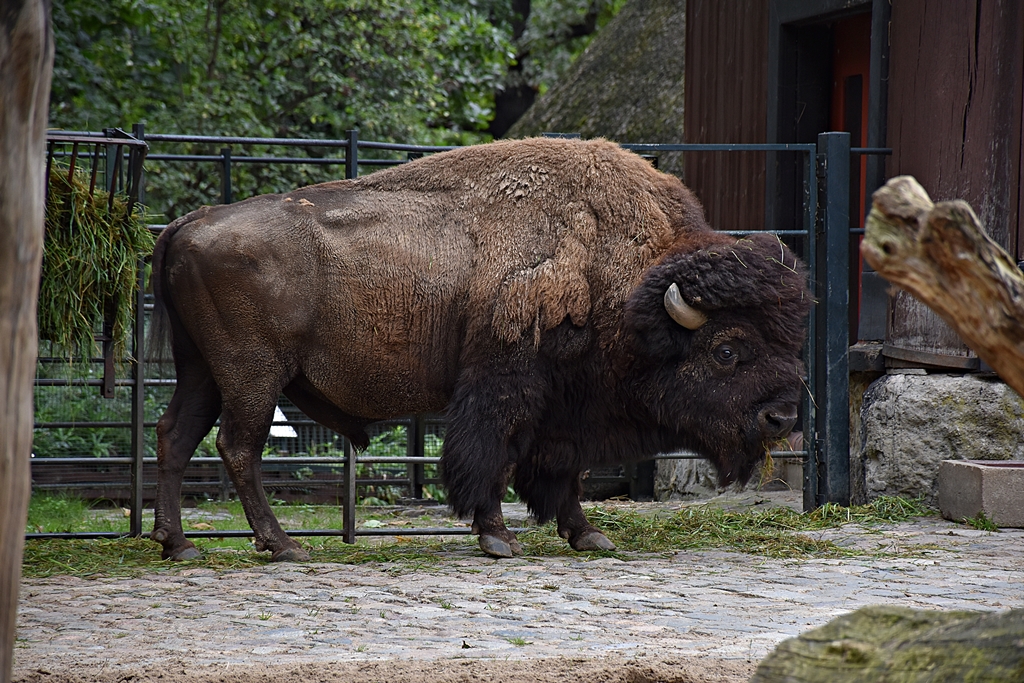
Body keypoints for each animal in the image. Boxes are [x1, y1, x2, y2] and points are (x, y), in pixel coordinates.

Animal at [149, 137, 810, 561]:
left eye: (791, 338)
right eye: (726, 349)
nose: (783, 417)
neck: (615, 272)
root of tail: (190, 223)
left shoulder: (565, 409)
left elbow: (562, 470)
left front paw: (588, 535)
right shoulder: (506, 383)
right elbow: (493, 454)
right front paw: (498, 538)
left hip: (201, 371)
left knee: (175, 436)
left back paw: (178, 545)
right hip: (253, 377)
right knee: (237, 446)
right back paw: (282, 545)